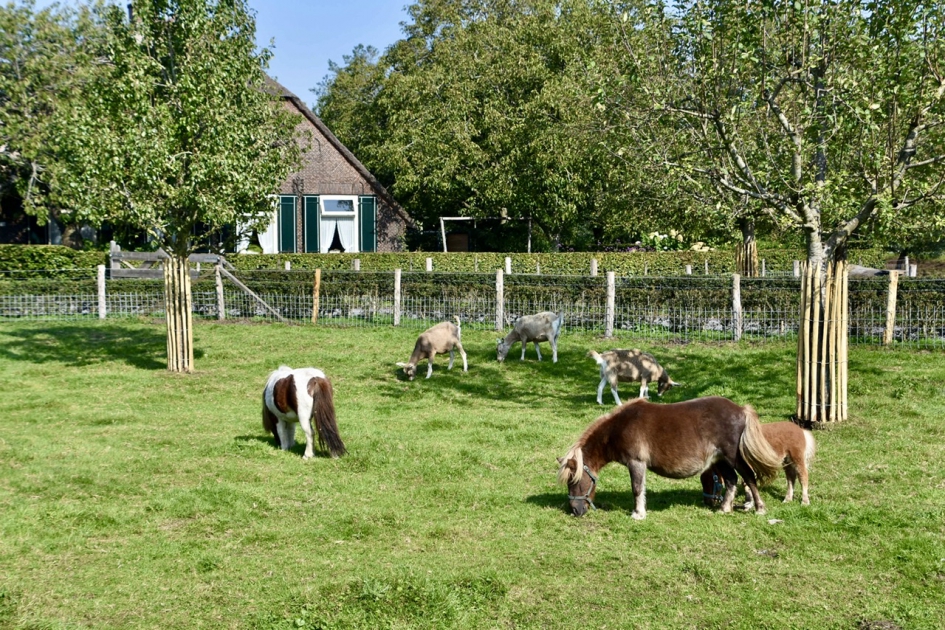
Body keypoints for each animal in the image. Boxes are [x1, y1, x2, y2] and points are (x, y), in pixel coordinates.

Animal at [556, 396, 783, 519]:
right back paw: (724, 508)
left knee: (749, 477)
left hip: (732, 457)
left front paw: (638, 513)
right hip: (721, 460)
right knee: (732, 480)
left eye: (573, 481)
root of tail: (741, 410)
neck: (619, 427)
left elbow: (637, 488)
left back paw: (759, 508)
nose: (575, 510)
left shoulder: (636, 463)